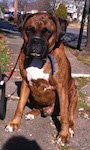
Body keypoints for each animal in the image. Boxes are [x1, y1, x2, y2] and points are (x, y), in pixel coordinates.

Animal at [5, 12, 77, 146]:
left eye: (48, 32)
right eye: (29, 30)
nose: (36, 41)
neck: (39, 60)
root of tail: (49, 111)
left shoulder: (62, 89)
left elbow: (65, 115)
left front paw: (63, 135)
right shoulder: (25, 83)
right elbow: (19, 106)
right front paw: (14, 124)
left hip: (73, 91)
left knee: (70, 114)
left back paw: (70, 129)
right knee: (37, 108)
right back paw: (32, 113)